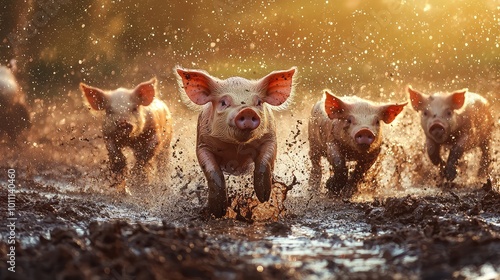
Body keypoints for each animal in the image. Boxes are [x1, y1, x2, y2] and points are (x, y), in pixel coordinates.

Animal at [175, 66, 296, 218]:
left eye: (258, 102)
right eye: (223, 102)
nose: (248, 111)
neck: (236, 147)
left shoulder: (270, 138)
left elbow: (265, 161)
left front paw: (264, 197)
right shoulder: (202, 144)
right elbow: (212, 171)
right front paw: (218, 212)